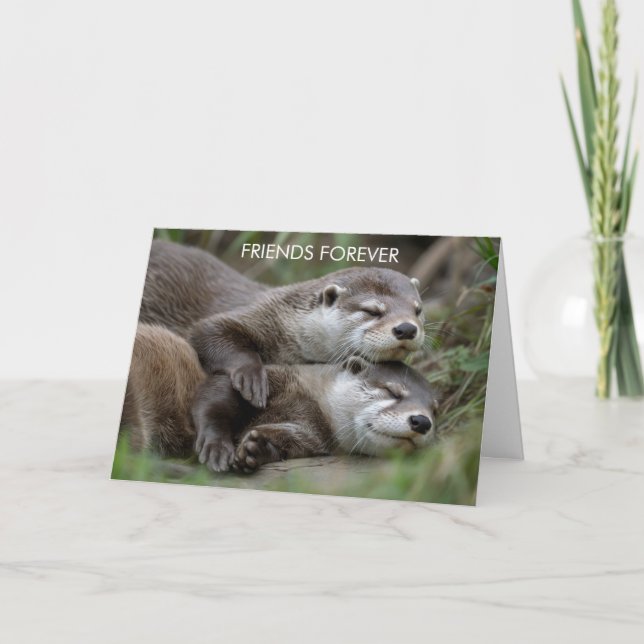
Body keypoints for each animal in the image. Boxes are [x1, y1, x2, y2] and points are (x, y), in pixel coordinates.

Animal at [121, 324, 438, 472]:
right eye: (392, 391)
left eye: (434, 410)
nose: (421, 421)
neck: (314, 402)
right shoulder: (269, 377)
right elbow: (215, 398)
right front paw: (216, 446)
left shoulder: (310, 435)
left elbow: (288, 441)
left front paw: (256, 449)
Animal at [139, 240, 426, 409]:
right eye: (372, 311)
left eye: (417, 310)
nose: (407, 328)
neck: (287, 325)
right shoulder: (247, 314)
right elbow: (207, 330)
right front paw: (253, 378)